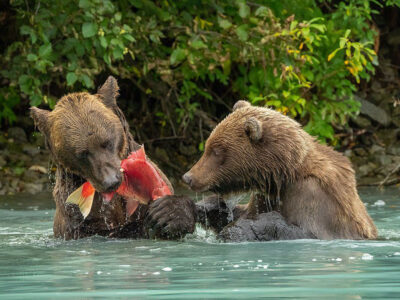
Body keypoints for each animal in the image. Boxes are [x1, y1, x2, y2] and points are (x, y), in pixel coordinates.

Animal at [184, 101, 378, 241]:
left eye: (216, 151)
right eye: (208, 146)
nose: (188, 177)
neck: (284, 173)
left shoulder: (313, 195)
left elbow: (306, 231)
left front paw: (236, 230)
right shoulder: (267, 194)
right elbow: (243, 211)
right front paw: (201, 207)